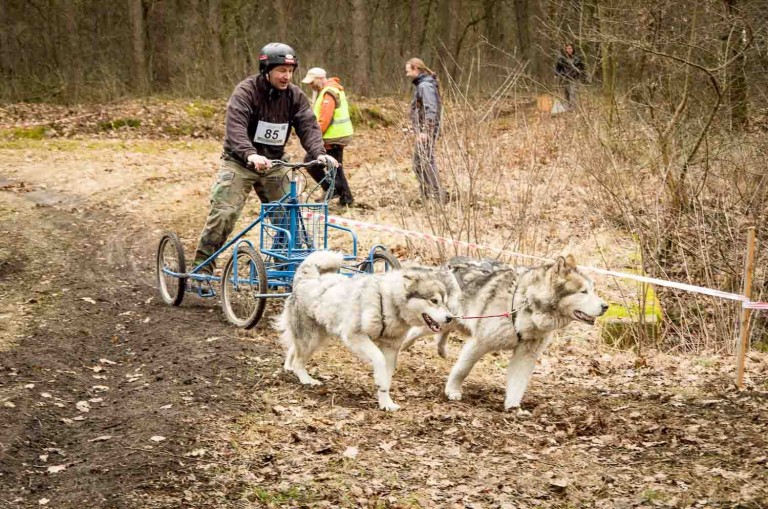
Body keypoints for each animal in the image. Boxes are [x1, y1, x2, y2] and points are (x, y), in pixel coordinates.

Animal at [276, 250, 460, 408]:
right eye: (434, 301)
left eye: (445, 302)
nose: (450, 317)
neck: (387, 303)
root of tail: (307, 279)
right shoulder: (356, 337)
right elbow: (378, 359)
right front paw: (380, 383)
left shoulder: (391, 348)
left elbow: (386, 379)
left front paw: (386, 403)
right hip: (312, 339)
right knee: (299, 359)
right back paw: (306, 379)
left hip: (317, 337)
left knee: (294, 349)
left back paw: (290, 367)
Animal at [404, 254, 608, 408]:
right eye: (583, 292)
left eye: (593, 290)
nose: (606, 306)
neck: (525, 303)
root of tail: (447, 263)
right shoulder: (480, 343)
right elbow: (462, 369)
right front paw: (452, 391)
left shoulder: (526, 355)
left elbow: (518, 383)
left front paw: (513, 407)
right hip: (445, 320)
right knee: (415, 331)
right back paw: (404, 347)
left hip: (454, 321)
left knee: (439, 334)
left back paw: (441, 350)